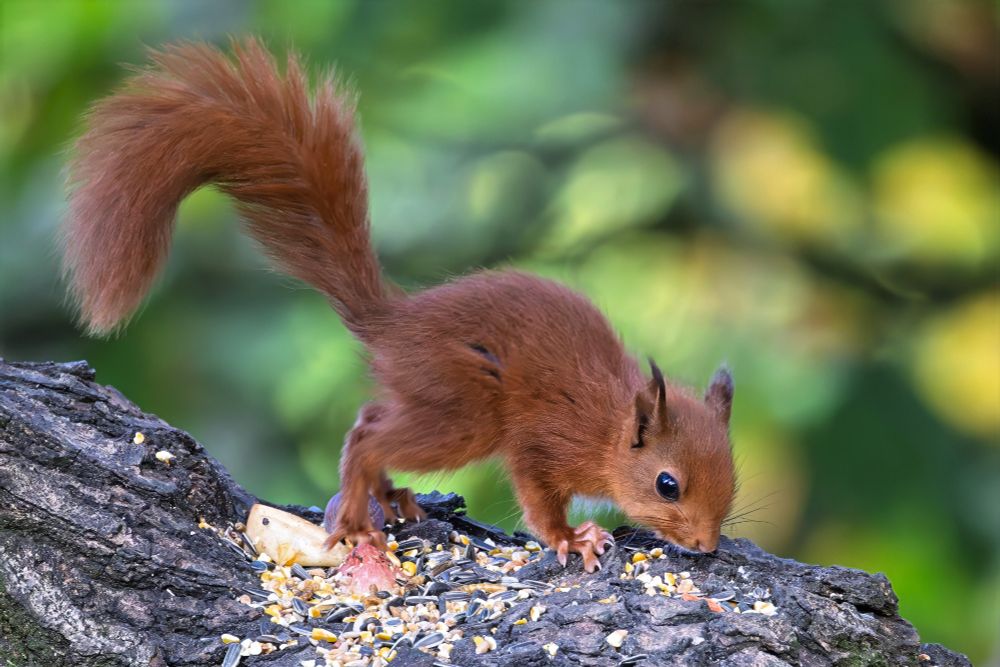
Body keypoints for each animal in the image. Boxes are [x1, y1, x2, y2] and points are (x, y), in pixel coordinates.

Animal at [62, 38, 736, 572]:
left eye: (732, 474)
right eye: (667, 485)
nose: (706, 546)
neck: (605, 427)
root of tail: (393, 323)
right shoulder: (542, 441)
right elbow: (539, 498)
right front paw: (571, 538)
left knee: (370, 419)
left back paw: (389, 499)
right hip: (464, 411)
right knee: (370, 433)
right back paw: (360, 514)